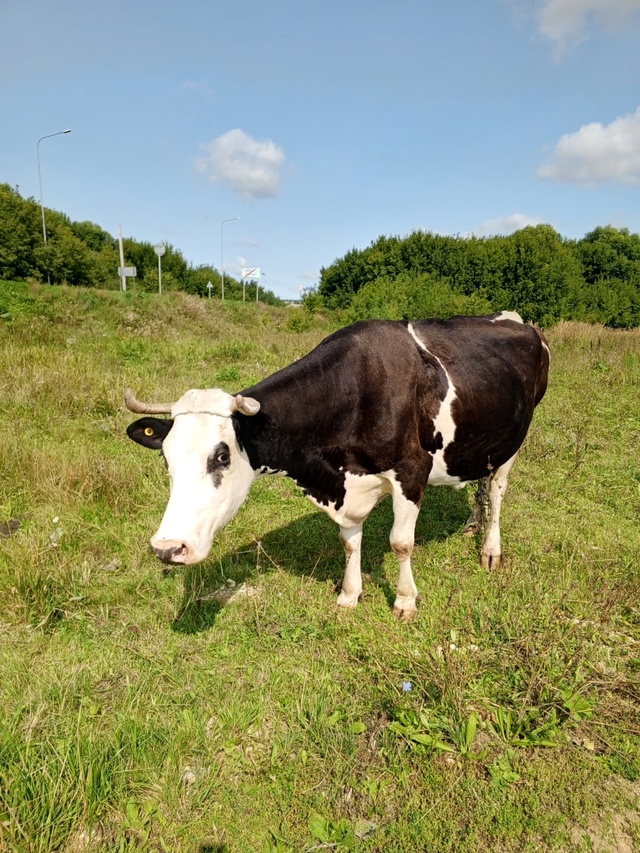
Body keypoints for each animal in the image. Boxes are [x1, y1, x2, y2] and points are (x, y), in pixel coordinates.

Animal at [126, 310, 552, 616]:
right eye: (166, 457)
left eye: (221, 455)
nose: (168, 548)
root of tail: (517, 320)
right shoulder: (346, 487)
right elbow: (348, 543)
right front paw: (349, 594)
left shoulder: (412, 470)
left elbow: (400, 543)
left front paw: (404, 600)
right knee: (480, 482)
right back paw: (473, 523)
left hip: (514, 440)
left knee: (496, 491)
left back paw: (490, 549)